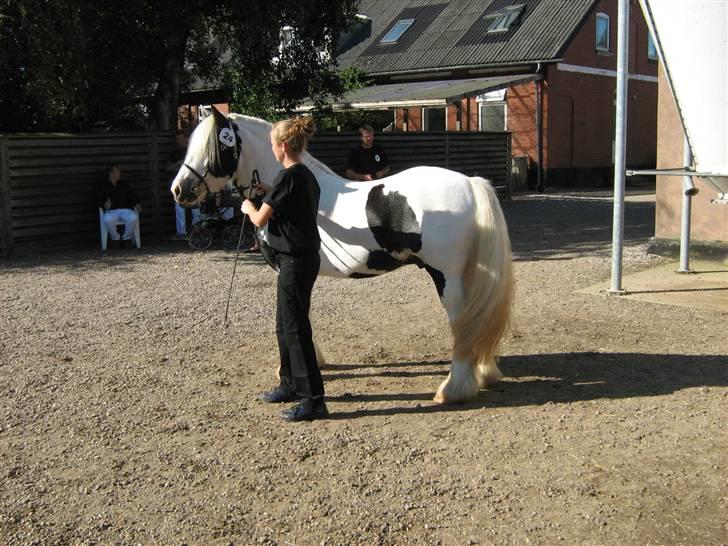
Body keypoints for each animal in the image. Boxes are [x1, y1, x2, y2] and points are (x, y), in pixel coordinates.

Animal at [170, 107, 512, 404]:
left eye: (216, 146)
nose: (180, 190)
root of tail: (470, 184)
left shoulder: (286, 270)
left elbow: (292, 316)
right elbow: (303, 314)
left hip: (446, 275)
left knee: (462, 322)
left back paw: (453, 389)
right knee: (475, 317)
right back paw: (483, 372)